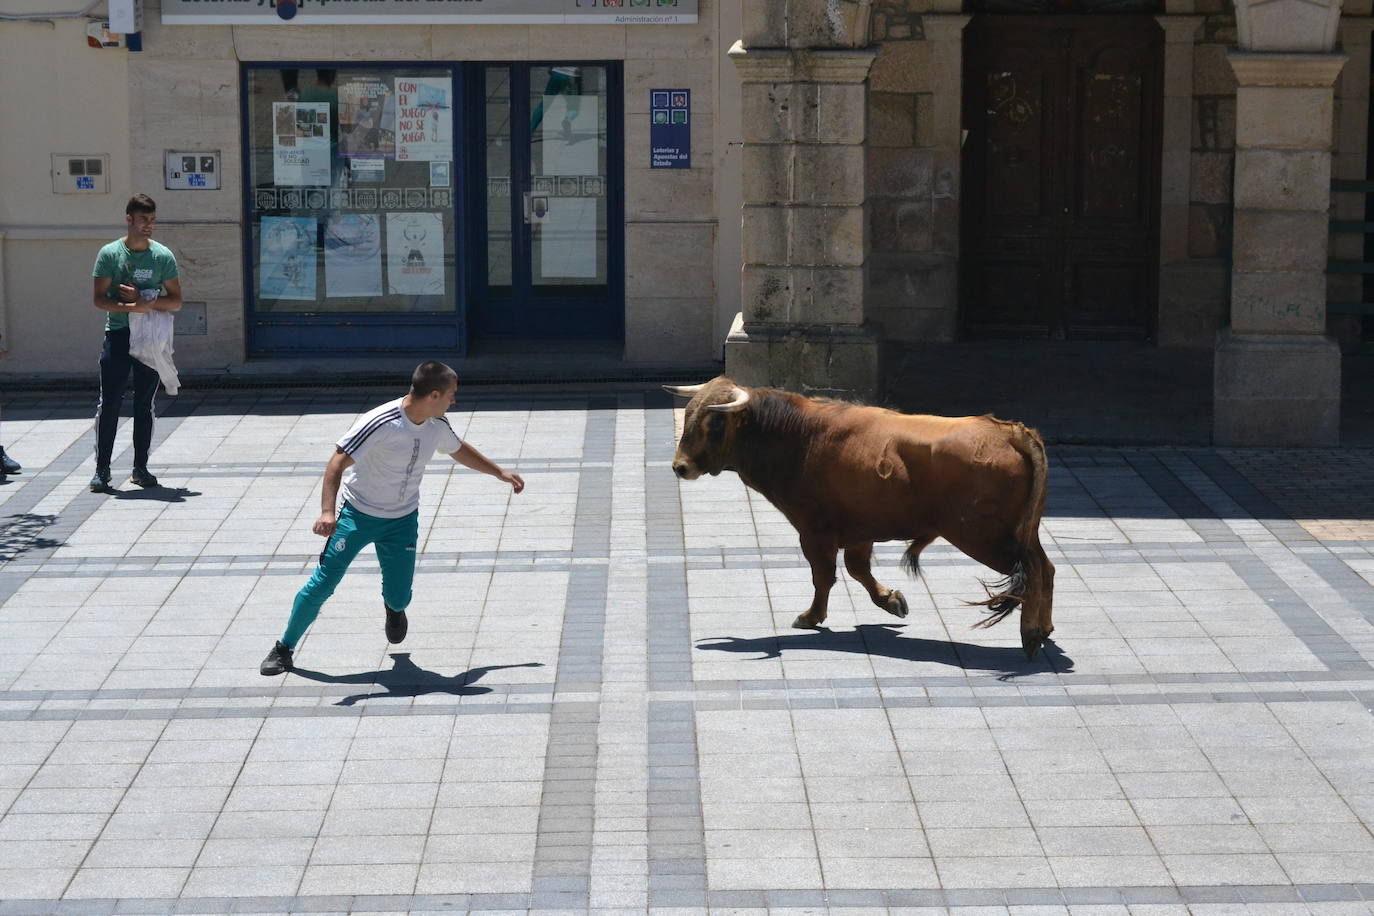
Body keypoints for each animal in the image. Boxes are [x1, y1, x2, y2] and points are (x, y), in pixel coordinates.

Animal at [670, 376, 1055, 661]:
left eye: (714, 423)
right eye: (688, 415)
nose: (679, 467)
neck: (798, 436)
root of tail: (1008, 430)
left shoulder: (814, 531)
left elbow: (823, 576)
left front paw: (811, 616)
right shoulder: (860, 529)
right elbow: (858, 570)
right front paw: (892, 601)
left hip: (983, 538)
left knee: (1033, 570)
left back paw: (1030, 636)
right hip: (1022, 533)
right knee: (1046, 567)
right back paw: (1045, 630)